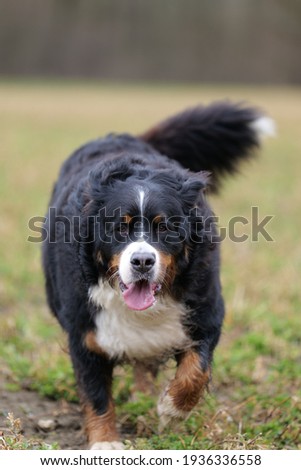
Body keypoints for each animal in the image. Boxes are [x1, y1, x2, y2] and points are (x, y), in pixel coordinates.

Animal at [41, 102, 272, 448]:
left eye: (165, 227)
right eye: (119, 227)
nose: (142, 261)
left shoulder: (205, 312)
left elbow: (196, 371)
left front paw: (171, 410)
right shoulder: (85, 331)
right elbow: (96, 393)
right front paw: (105, 442)